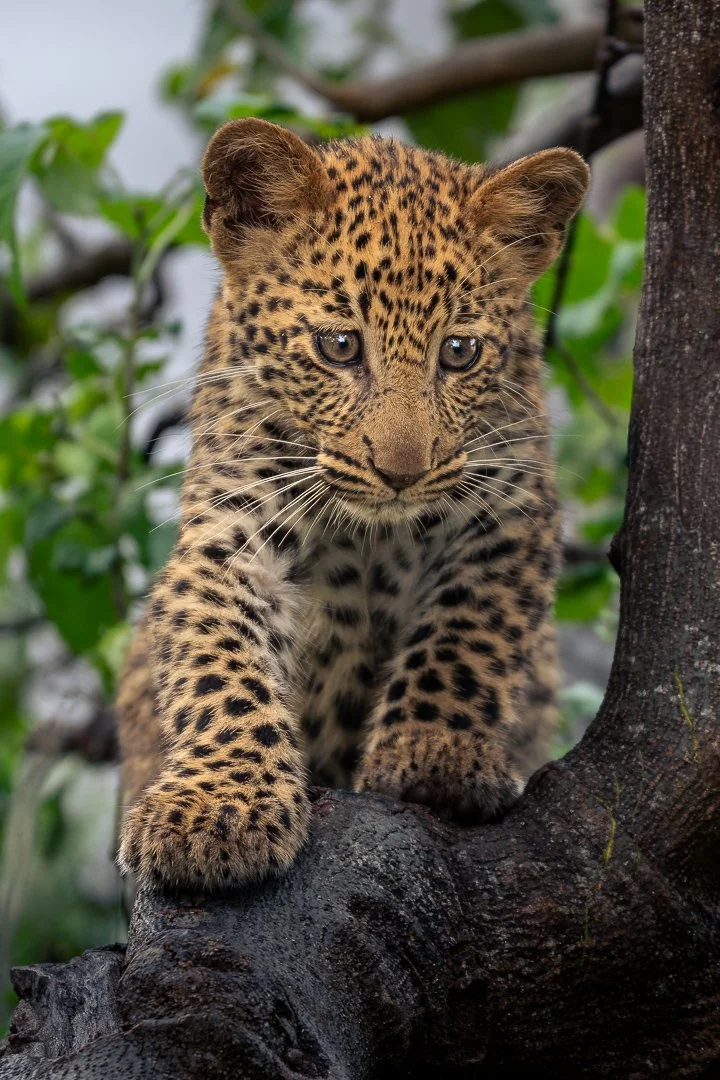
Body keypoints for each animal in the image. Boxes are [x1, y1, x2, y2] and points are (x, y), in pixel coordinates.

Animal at [116, 117, 589, 891]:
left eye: (459, 352)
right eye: (338, 346)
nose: (401, 472)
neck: (373, 536)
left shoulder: (513, 508)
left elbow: (465, 631)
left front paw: (433, 755)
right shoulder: (231, 531)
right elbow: (222, 664)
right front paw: (217, 808)